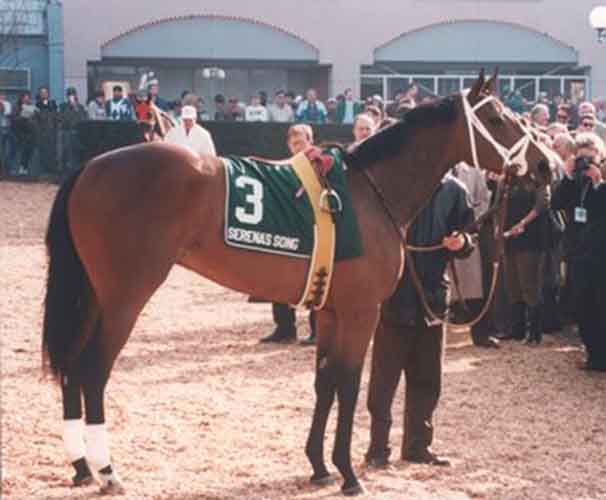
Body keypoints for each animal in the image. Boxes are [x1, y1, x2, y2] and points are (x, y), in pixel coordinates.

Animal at [41, 71, 552, 496]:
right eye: (500, 118)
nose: (546, 165)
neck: (370, 192)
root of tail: (90, 168)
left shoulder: (328, 310)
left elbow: (324, 383)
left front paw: (319, 466)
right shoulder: (360, 312)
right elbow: (348, 384)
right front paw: (347, 473)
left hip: (93, 295)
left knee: (71, 366)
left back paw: (81, 465)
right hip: (124, 297)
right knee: (92, 369)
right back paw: (107, 471)